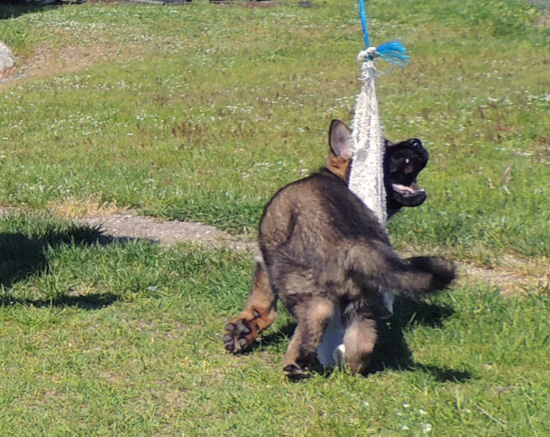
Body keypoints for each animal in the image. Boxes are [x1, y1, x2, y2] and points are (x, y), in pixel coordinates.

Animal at [224, 120, 458, 378]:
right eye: (385, 146)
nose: (417, 142)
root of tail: (355, 241)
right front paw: (244, 330)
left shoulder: (265, 261)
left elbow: (261, 302)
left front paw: (246, 326)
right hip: (361, 298)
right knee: (362, 341)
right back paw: (351, 367)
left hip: (291, 276)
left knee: (318, 312)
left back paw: (297, 361)